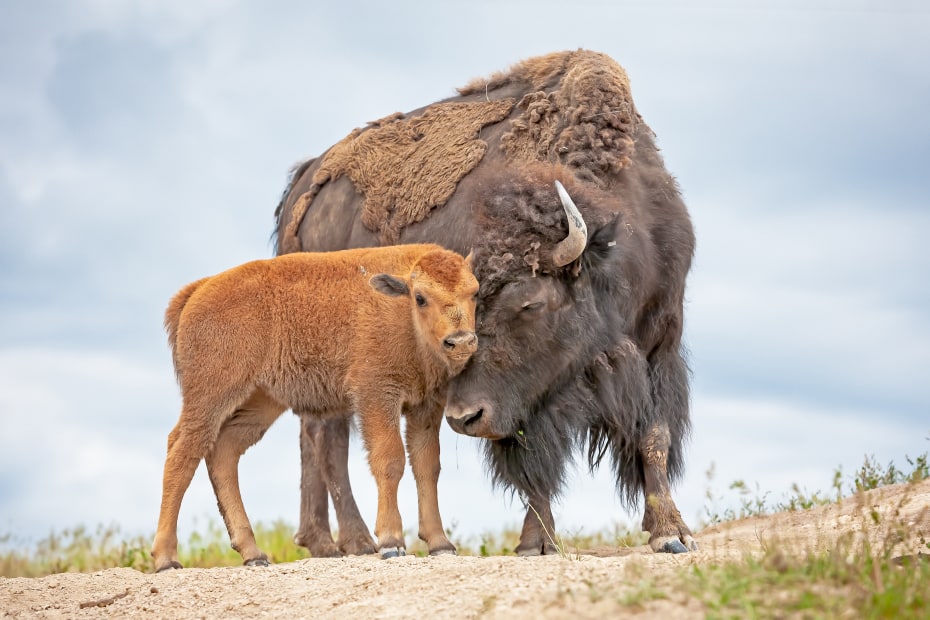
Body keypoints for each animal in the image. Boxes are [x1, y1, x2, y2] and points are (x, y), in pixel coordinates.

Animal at [152, 243, 478, 572]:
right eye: (420, 297)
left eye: (475, 292)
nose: (461, 341)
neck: (403, 310)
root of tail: (198, 290)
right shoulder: (376, 395)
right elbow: (390, 460)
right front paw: (391, 543)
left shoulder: (425, 406)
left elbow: (427, 466)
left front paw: (441, 544)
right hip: (211, 396)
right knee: (182, 453)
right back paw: (166, 558)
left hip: (260, 401)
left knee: (224, 451)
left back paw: (253, 554)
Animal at [276, 49, 696, 556]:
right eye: (477, 304)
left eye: (529, 304)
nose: (464, 417)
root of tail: (303, 185)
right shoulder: (526, 401)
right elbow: (531, 462)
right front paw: (536, 543)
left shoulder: (659, 344)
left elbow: (653, 437)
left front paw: (671, 533)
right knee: (329, 438)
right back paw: (357, 542)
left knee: (312, 433)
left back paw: (321, 542)